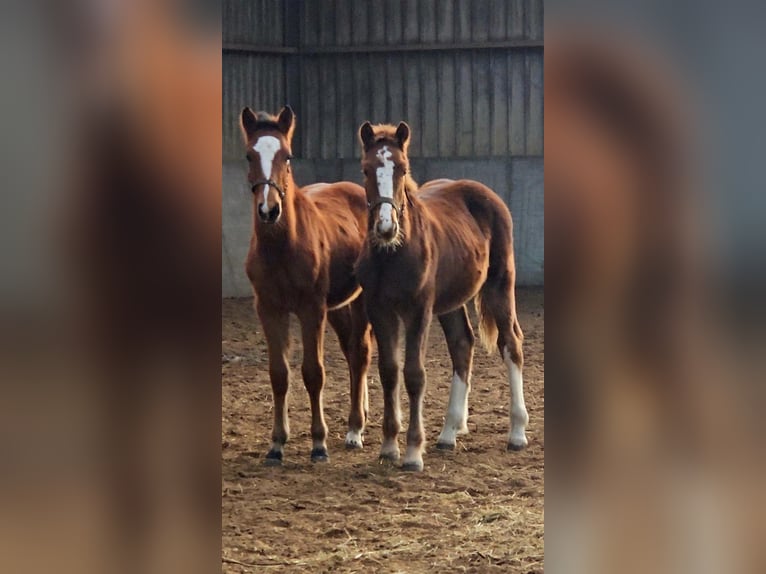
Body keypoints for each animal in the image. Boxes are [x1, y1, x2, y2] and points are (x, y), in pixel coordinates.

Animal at [240, 106, 372, 466]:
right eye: (249, 155)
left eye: (287, 155)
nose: (269, 210)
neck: (282, 246)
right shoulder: (268, 308)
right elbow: (278, 374)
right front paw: (276, 445)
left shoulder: (311, 309)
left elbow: (314, 372)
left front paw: (318, 444)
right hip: (338, 307)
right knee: (352, 352)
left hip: (359, 301)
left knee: (361, 353)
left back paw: (355, 430)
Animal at [358, 121, 528, 472]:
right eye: (366, 169)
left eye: (402, 168)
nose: (385, 227)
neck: (393, 253)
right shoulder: (379, 310)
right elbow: (389, 371)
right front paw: (388, 446)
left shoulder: (418, 310)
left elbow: (414, 374)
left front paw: (412, 453)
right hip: (452, 301)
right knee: (462, 344)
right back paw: (449, 433)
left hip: (500, 284)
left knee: (511, 343)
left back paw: (517, 432)